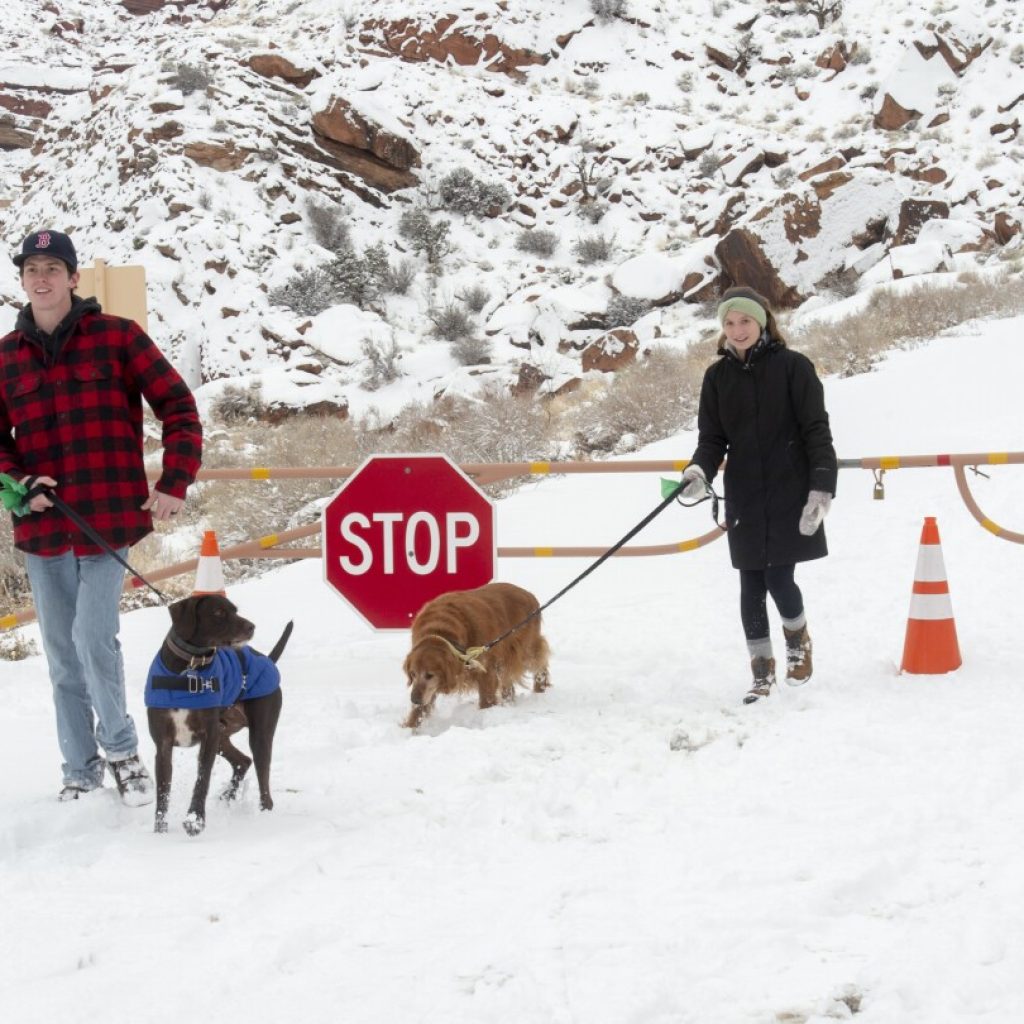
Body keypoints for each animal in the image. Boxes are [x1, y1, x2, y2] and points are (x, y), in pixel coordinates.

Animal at [403, 585, 552, 729]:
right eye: (413, 674)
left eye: (430, 675)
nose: (414, 699)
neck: (440, 631)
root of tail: (529, 594)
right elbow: (420, 708)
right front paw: (411, 727)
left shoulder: (486, 671)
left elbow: (486, 699)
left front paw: (487, 714)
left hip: (526, 650)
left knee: (541, 666)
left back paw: (540, 689)